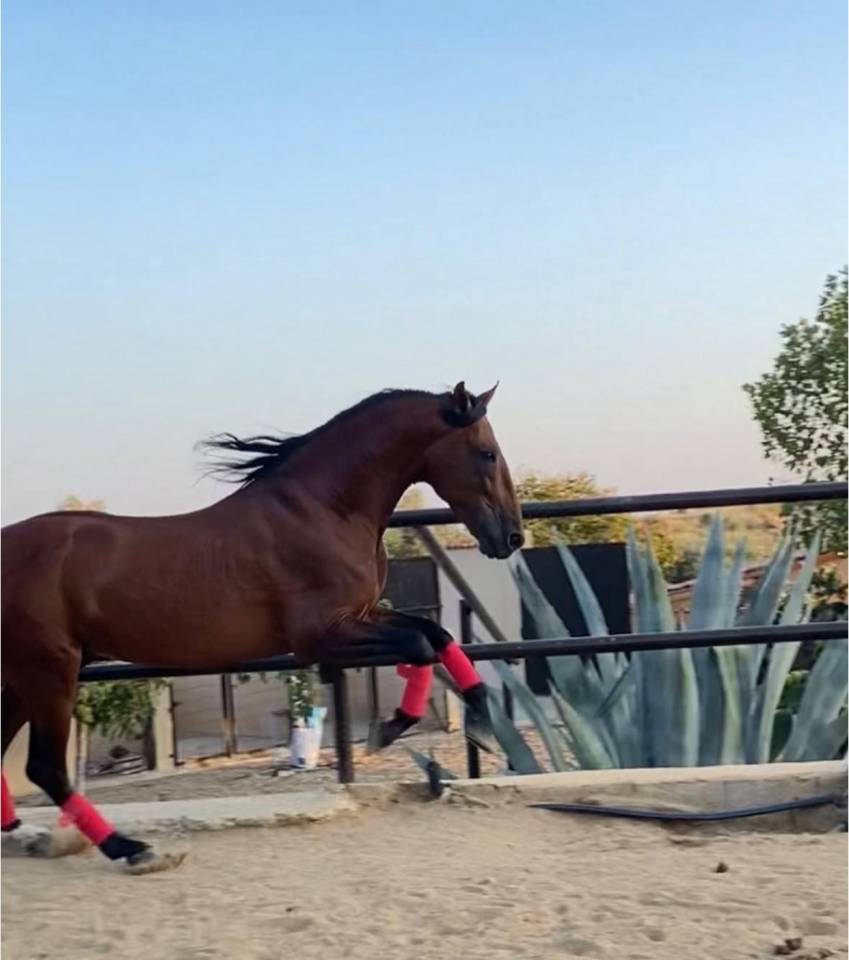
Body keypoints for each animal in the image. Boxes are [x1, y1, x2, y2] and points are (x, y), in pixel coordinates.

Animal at [2, 382, 524, 871]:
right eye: (487, 452)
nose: (513, 537)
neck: (325, 509)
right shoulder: (321, 637)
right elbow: (419, 644)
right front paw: (390, 729)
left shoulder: (360, 617)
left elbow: (438, 637)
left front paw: (482, 723)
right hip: (50, 670)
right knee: (46, 767)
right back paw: (130, 849)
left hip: (26, 676)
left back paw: (26, 834)